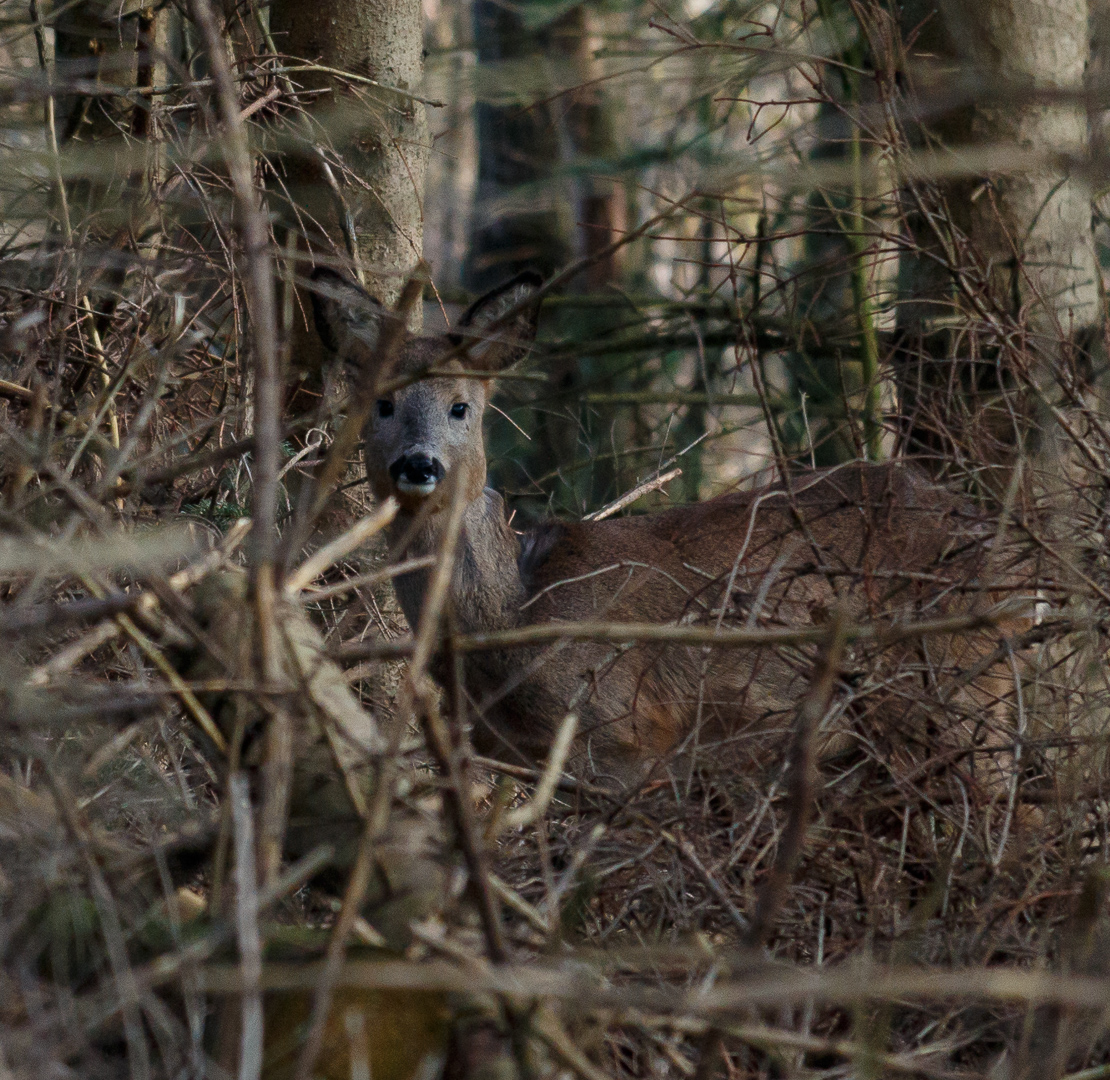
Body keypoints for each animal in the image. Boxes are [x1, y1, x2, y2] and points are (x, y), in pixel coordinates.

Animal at [308, 267, 1025, 790]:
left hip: (958, 687)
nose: (419, 464)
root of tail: (998, 540)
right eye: (382, 403)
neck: (511, 617)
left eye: (461, 406)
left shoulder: (620, 734)